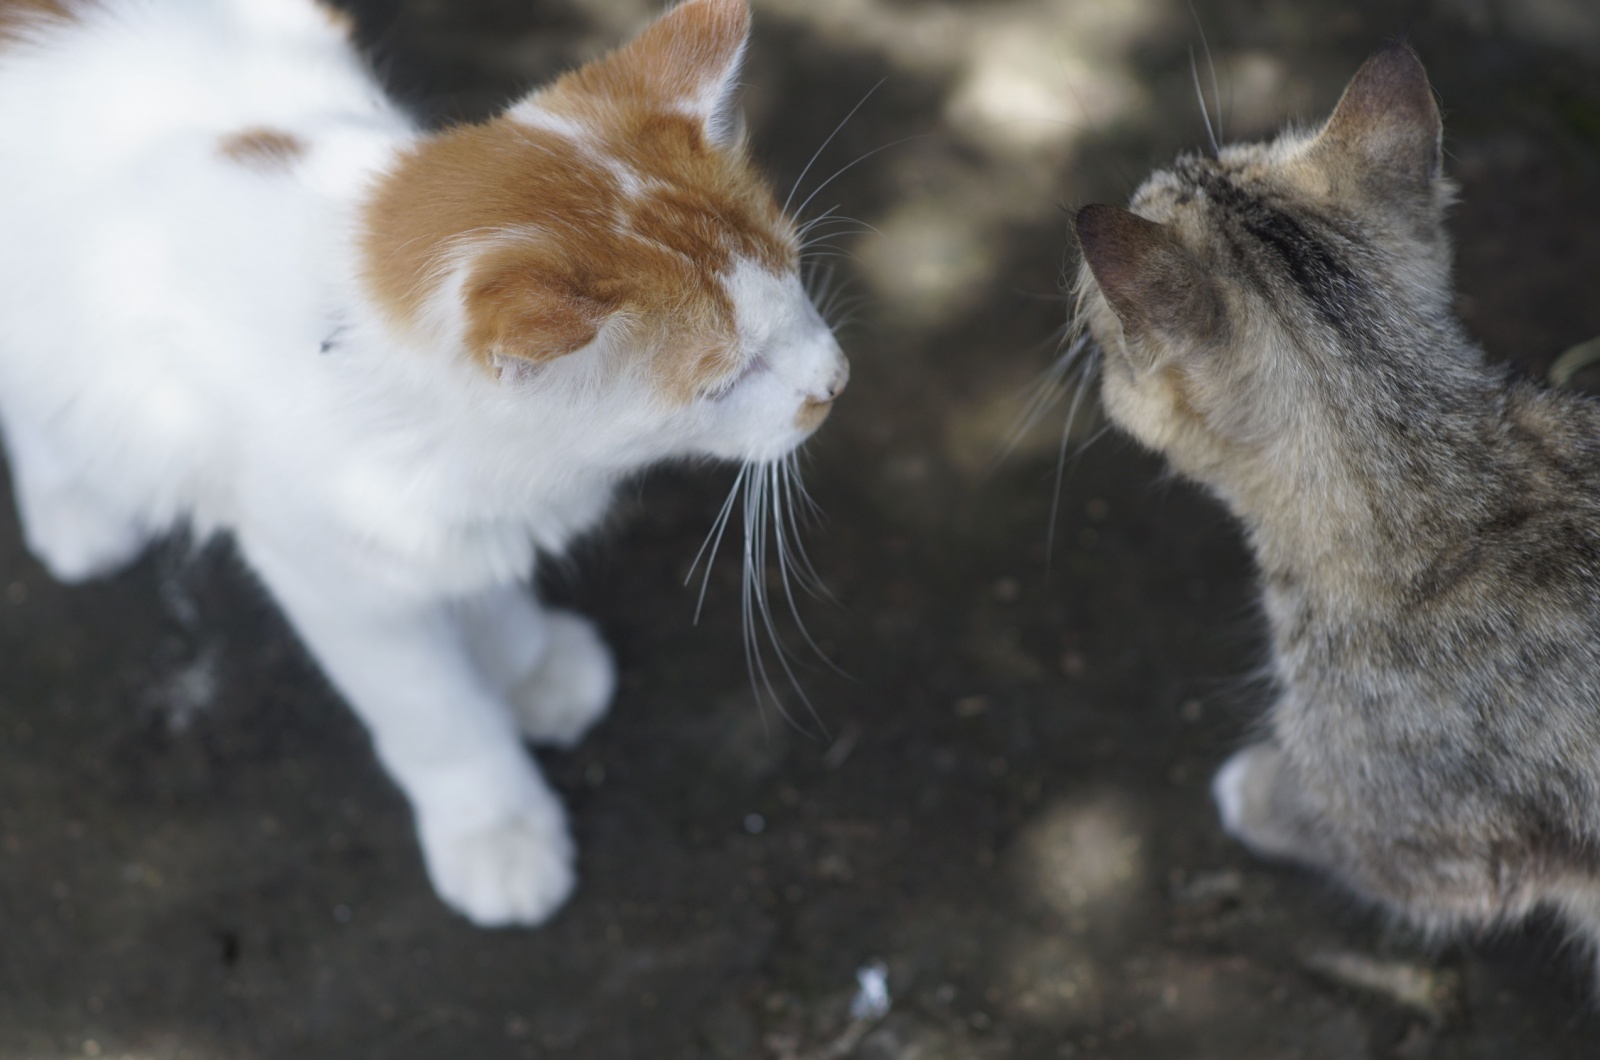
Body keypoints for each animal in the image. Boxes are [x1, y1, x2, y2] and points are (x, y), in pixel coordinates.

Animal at [0, 0, 851, 928]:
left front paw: (528, 663)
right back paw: (75, 502)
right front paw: (496, 825)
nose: (835, 381)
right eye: (728, 381)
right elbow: (436, 710)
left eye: (796, 280)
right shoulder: (333, 576)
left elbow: (482, 580)